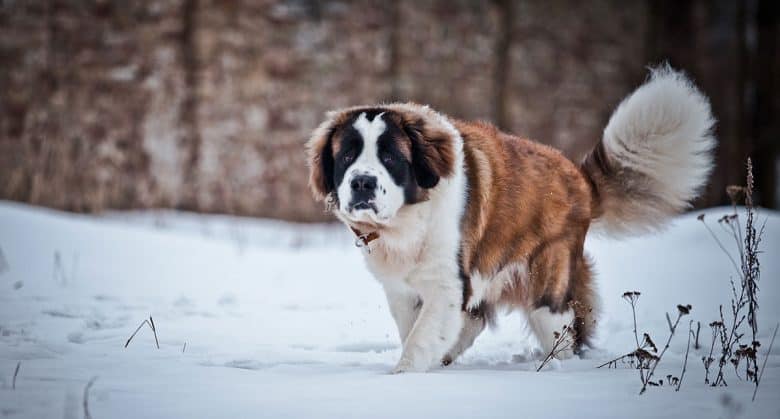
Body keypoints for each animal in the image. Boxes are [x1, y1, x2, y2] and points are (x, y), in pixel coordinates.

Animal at [304, 66, 712, 374]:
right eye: (346, 156)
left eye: (390, 157)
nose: (362, 182)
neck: (407, 219)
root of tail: (579, 179)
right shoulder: (401, 290)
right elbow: (416, 329)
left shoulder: (446, 283)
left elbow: (420, 338)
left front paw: (402, 376)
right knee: (475, 319)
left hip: (548, 288)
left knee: (560, 332)